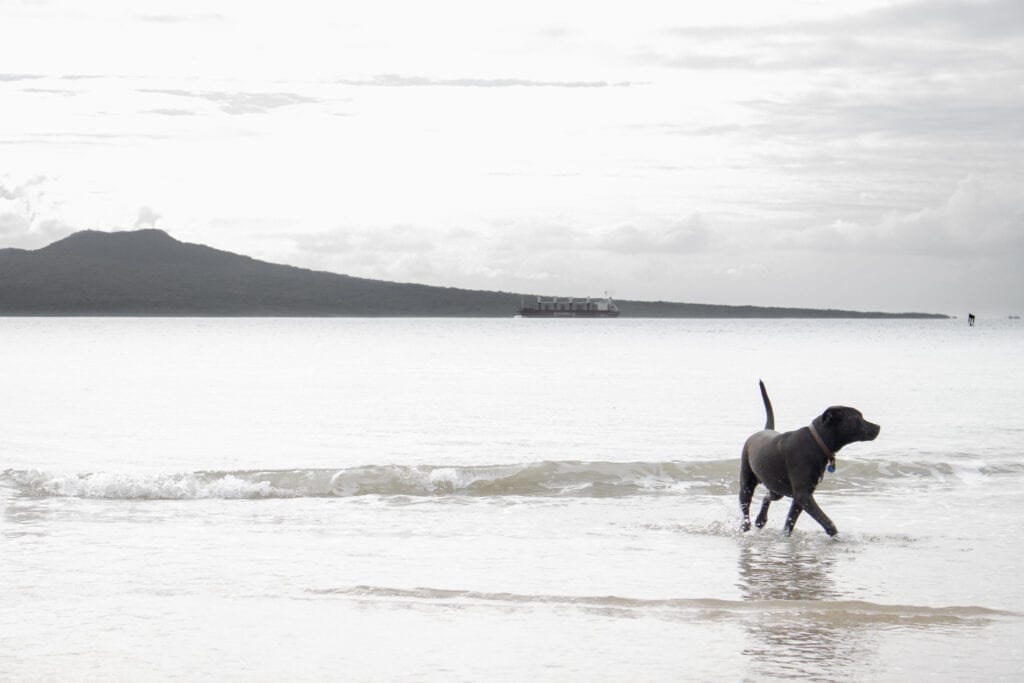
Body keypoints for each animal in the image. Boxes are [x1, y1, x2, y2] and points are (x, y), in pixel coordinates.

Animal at [737, 382, 880, 536]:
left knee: (767, 496)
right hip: (747, 482)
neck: (817, 442)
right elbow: (826, 521)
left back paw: (761, 520)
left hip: (776, 488)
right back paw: (745, 526)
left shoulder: (802, 494)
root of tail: (764, 430)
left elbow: (790, 521)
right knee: (745, 506)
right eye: (859, 418)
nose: (878, 427)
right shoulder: (803, 495)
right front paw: (835, 534)